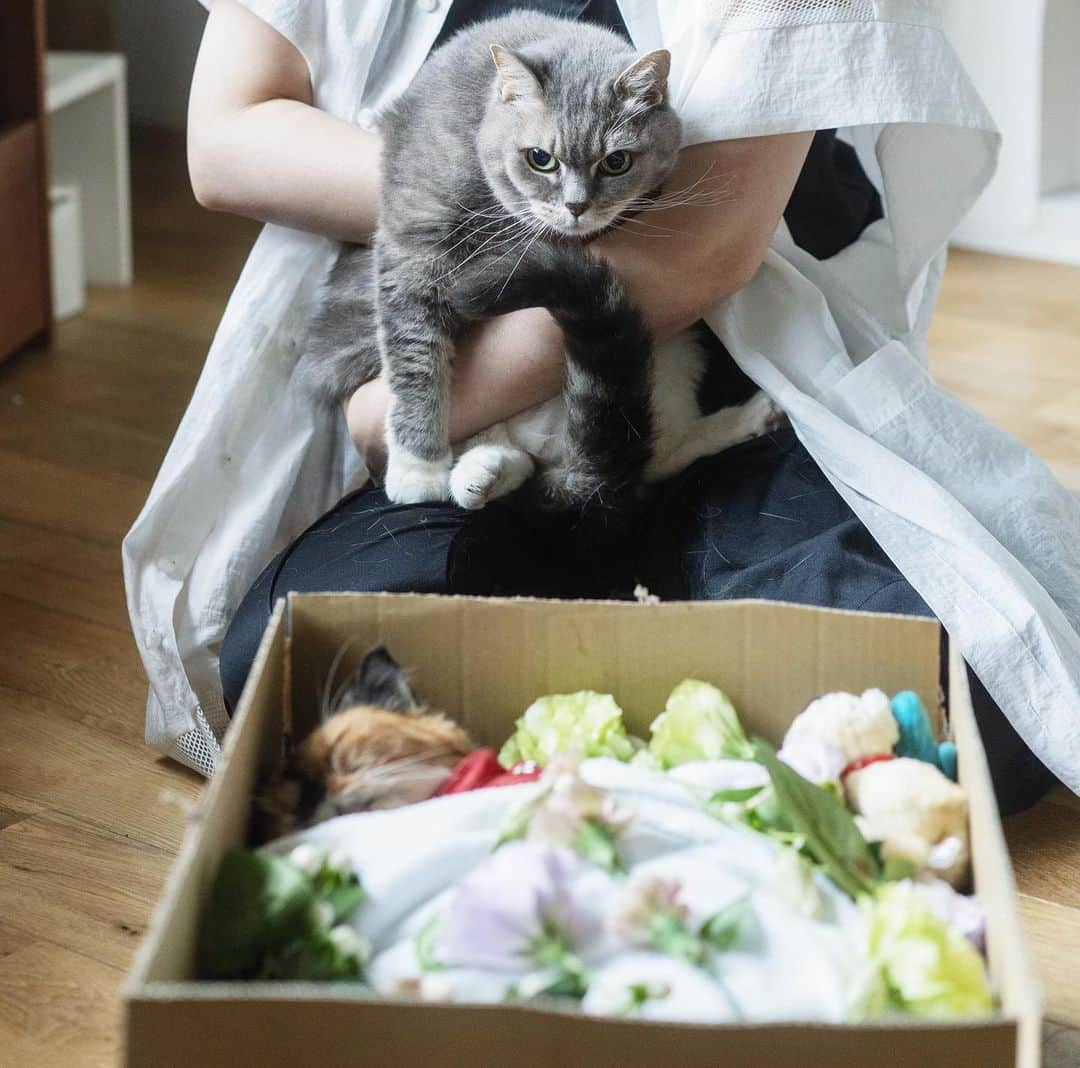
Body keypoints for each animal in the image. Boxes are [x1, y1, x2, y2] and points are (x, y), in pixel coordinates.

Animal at [302, 13, 777, 507]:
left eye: (617, 162)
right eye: (540, 158)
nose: (576, 206)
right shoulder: (413, 240)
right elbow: (414, 351)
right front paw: (418, 468)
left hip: (674, 354)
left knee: (658, 453)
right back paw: (481, 473)